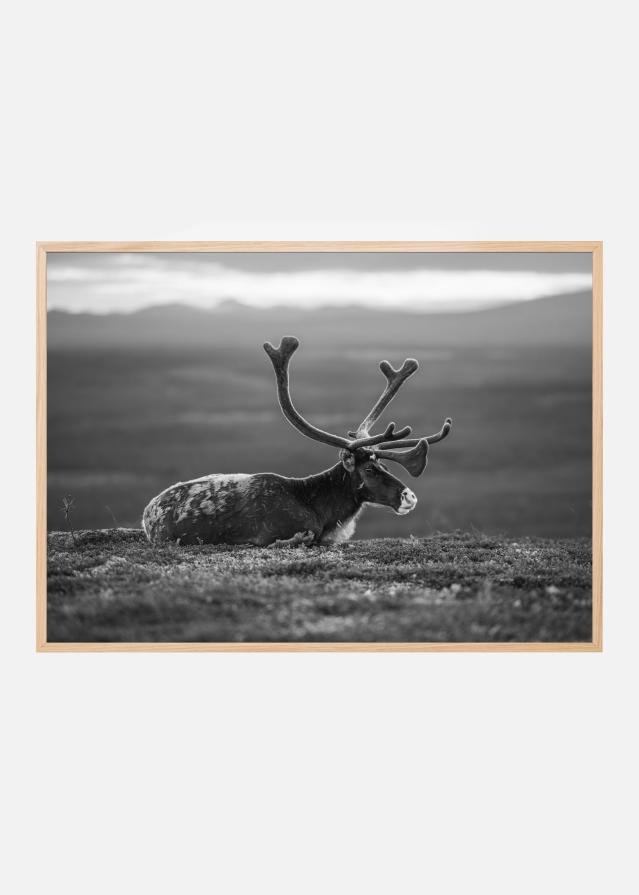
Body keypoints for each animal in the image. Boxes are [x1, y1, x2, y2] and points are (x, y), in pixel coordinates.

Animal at [142, 336, 452, 547]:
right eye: (369, 470)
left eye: (384, 466)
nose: (410, 496)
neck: (320, 506)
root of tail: (147, 511)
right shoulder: (285, 533)